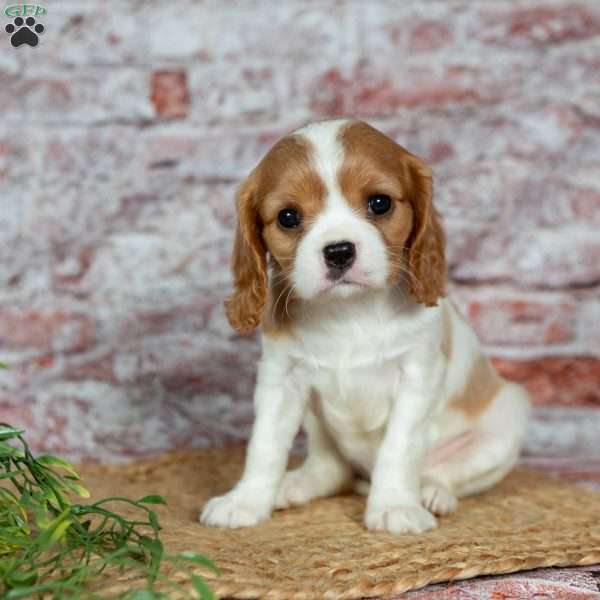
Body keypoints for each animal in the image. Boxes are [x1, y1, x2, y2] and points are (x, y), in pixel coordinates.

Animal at [202, 118, 528, 536]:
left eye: (380, 203)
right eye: (288, 217)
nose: (339, 251)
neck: (349, 312)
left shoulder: (418, 376)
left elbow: (399, 446)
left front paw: (394, 506)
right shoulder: (281, 377)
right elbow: (264, 445)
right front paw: (245, 501)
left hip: (507, 419)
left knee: (448, 473)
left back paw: (431, 493)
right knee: (331, 467)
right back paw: (293, 484)